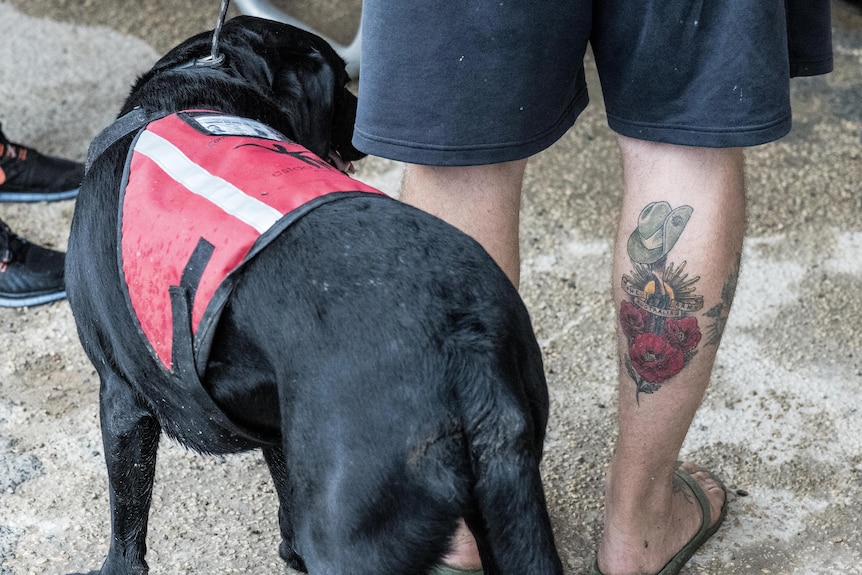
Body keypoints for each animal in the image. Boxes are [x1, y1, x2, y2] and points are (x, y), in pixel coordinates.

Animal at [69, 15, 568, 572]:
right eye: (342, 85)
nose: (363, 130)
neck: (210, 79)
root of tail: (463, 344)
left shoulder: (121, 398)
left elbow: (127, 516)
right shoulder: (276, 422)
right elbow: (284, 494)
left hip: (350, 531)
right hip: (505, 506)